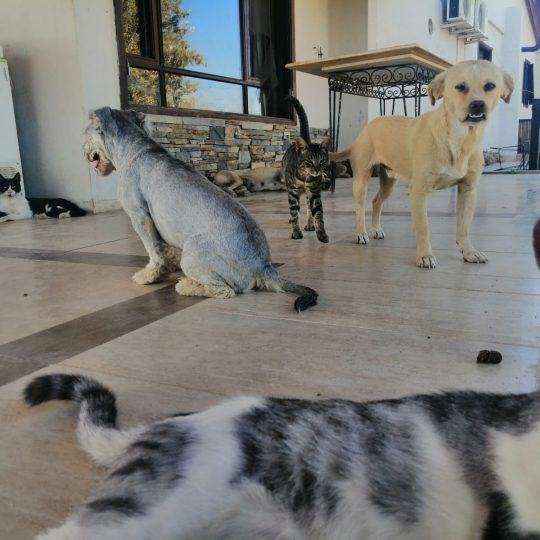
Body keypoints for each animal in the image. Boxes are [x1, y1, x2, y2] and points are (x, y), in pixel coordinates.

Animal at [83, 108, 317, 311]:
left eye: (85, 132)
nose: (84, 152)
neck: (135, 149)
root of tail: (264, 267)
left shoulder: (139, 216)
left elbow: (153, 251)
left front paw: (149, 275)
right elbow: (164, 249)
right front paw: (165, 267)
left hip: (192, 253)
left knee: (224, 290)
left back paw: (186, 285)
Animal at [282, 96, 330, 243]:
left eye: (322, 161)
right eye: (309, 161)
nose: (318, 171)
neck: (305, 178)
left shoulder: (314, 192)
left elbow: (318, 214)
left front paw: (322, 233)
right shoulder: (292, 192)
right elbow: (294, 212)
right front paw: (296, 232)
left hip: (310, 193)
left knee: (308, 207)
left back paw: (309, 224)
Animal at [330, 60, 514, 268]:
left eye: (490, 86)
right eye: (460, 86)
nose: (478, 105)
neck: (459, 140)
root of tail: (365, 129)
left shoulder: (468, 190)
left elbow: (464, 227)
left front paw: (469, 252)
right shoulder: (419, 191)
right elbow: (423, 227)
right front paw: (425, 255)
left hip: (389, 182)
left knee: (376, 202)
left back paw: (376, 229)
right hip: (362, 179)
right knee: (360, 207)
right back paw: (361, 233)